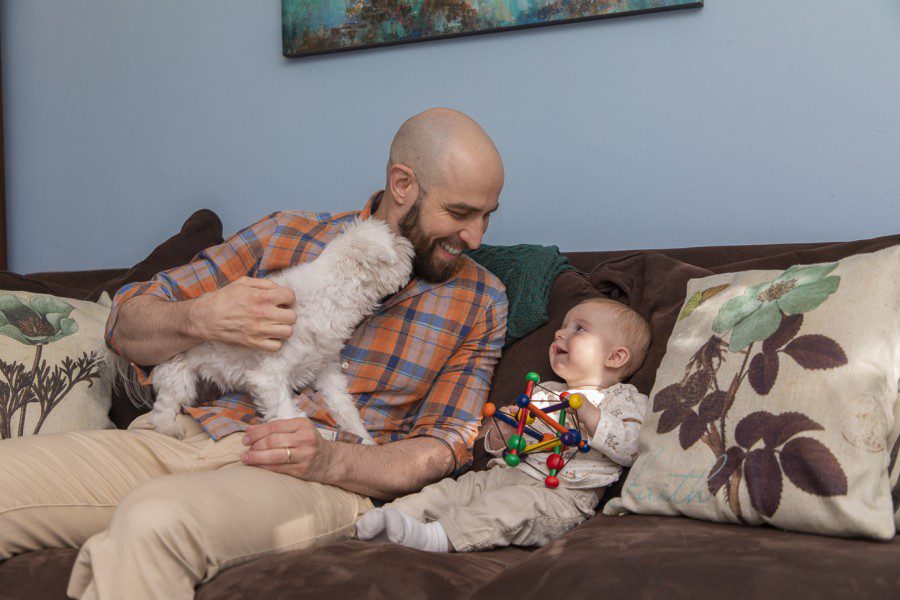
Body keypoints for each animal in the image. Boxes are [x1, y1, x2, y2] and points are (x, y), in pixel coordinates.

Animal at [149, 218, 414, 442]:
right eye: (394, 240)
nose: (408, 244)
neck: (332, 294)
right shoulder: (269, 376)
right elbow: (287, 414)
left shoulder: (325, 369)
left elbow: (344, 407)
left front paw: (363, 438)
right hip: (178, 376)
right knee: (161, 411)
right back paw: (170, 428)